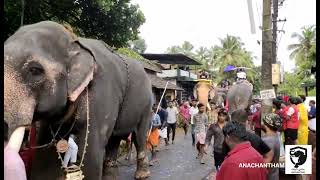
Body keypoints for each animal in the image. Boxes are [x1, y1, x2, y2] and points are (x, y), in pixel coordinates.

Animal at [3, 20, 154, 179]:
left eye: (35, 70)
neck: (74, 41)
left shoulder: (101, 98)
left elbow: (91, 156)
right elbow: (45, 154)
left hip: (146, 106)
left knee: (139, 136)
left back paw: (142, 175)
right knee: (114, 139)